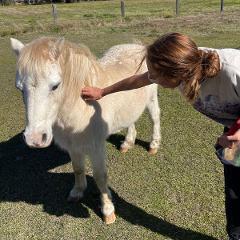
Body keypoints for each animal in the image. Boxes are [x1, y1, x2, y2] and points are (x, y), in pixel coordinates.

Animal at [10, 36, 160, 224]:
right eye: (19, 88)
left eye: (55, 86)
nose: (35, 139)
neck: (82, 106)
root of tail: (137, 47)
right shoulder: (73, 145)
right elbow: (78, 168)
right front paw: (77, 192)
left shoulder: (96, 147)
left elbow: (100, 176)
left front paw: (108, 210)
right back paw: (127, 143)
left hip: (152, 99)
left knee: (155, 118)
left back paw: (154, 145)